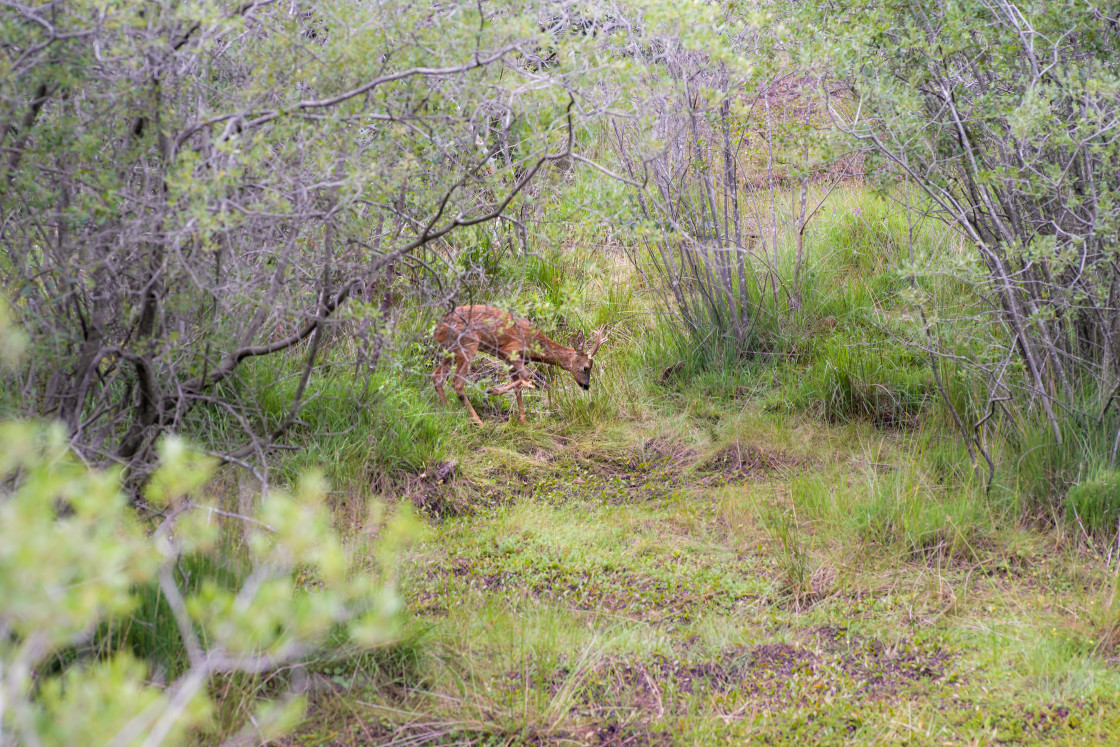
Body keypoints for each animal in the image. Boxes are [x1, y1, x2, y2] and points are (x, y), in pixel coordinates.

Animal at [432, 302, 609, 421]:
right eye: (586, 367)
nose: (586, 386)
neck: (534, 347)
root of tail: (437, 328)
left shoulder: (511, 362)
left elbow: (519, 387)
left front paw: (523, 420)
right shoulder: (510, 351)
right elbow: (526, 377)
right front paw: (493, 391)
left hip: (450, 350)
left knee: (436, 376)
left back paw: (448, 411)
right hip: (468, 345)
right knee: (457, 383)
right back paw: (478, 422)